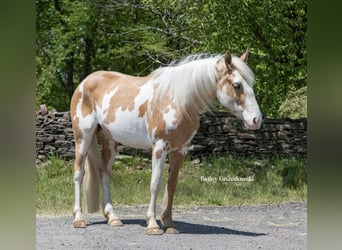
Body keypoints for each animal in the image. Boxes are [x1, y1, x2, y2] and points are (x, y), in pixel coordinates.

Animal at [69, 49, 262, 234]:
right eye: (236, 85)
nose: (256, 120)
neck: (179, 101)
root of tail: (84, 83)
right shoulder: (159, 147)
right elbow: (155, 184)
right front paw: (153, 225)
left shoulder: (181, 150)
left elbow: (172, 185)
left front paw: (168, 224)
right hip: (83, 137)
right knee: (79, 173)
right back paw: (78, 218)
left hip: (109, 141)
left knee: (105, 173)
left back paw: (113, 217)